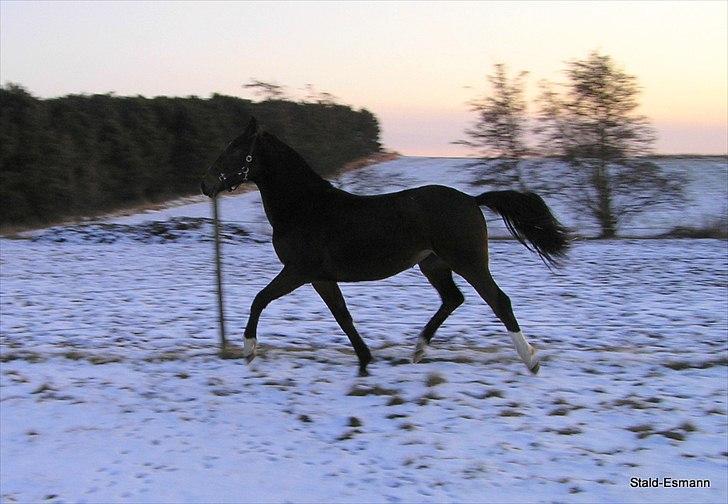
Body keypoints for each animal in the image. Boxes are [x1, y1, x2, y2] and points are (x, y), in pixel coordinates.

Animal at [200, 118, 568, 374]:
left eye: (236, 150)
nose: (206, 185)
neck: (305, 207)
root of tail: (471, 200)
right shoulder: (320, 278)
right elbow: (342, 316)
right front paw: (365, 360)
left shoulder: (299, 271)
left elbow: (260, 299)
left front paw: (249, 349)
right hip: (432, 264)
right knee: (453, 299)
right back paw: (418, 351)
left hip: (468, 261)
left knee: (498, 301)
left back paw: (530, 359)